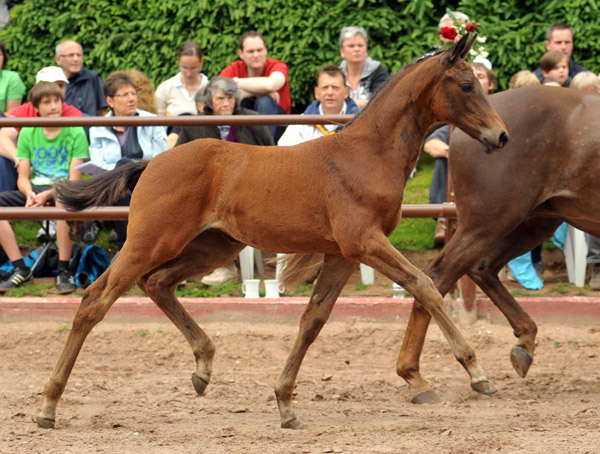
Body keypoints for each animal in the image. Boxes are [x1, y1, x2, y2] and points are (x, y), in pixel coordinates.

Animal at [37, 34, 506, 430]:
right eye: (467, 85)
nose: (501, 136)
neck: (367, 153)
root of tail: (151, 162)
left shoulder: (342, 254)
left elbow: (313, 320)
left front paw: (285, 402)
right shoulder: (365, 241)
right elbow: (424, 285)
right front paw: (475, 371)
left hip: (213, 248)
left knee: (158, 284)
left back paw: (203, 368)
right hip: (149, 242)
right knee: (95, 300)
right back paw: (48, 405)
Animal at [394, 86, 600, 404]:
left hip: (531, 222)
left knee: (481, 268)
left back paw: (524, 344)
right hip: (491, 220)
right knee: (435, 278)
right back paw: (418, 376)